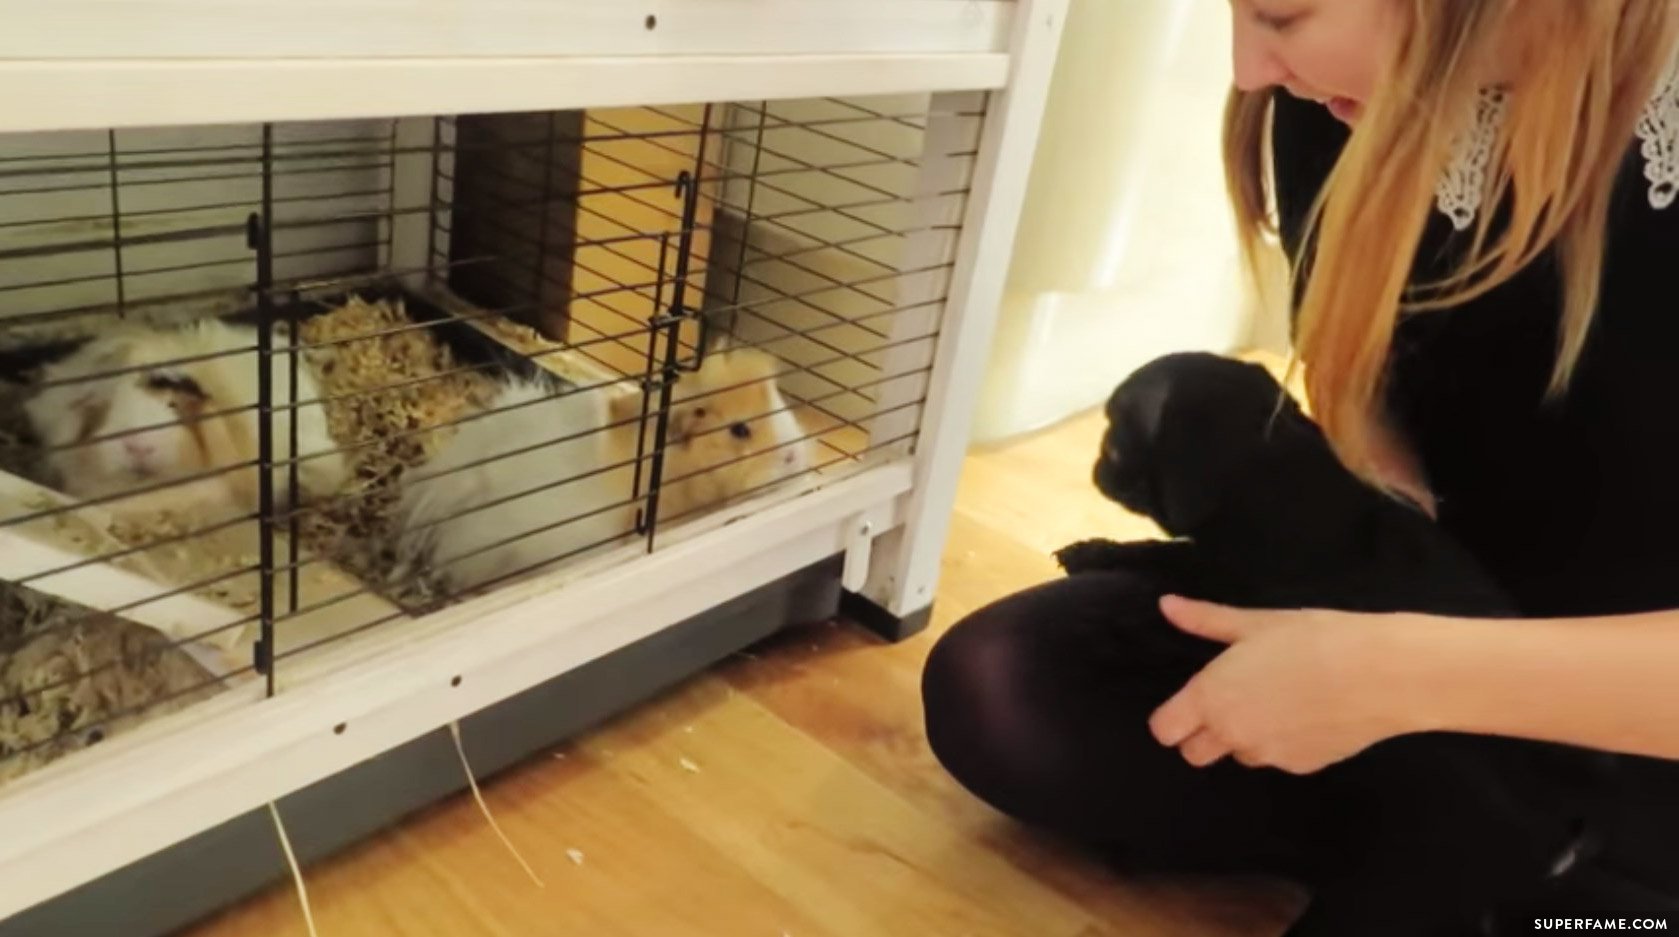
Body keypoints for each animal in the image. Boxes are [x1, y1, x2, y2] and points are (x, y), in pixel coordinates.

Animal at [1054, 354, 1618, 937]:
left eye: (1115, 439)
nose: (1097, 468)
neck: (1268, 469)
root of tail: (1567, 837)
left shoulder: (1235, 592)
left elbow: (1170, 582)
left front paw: (1106, 586)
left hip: (1386, 892)